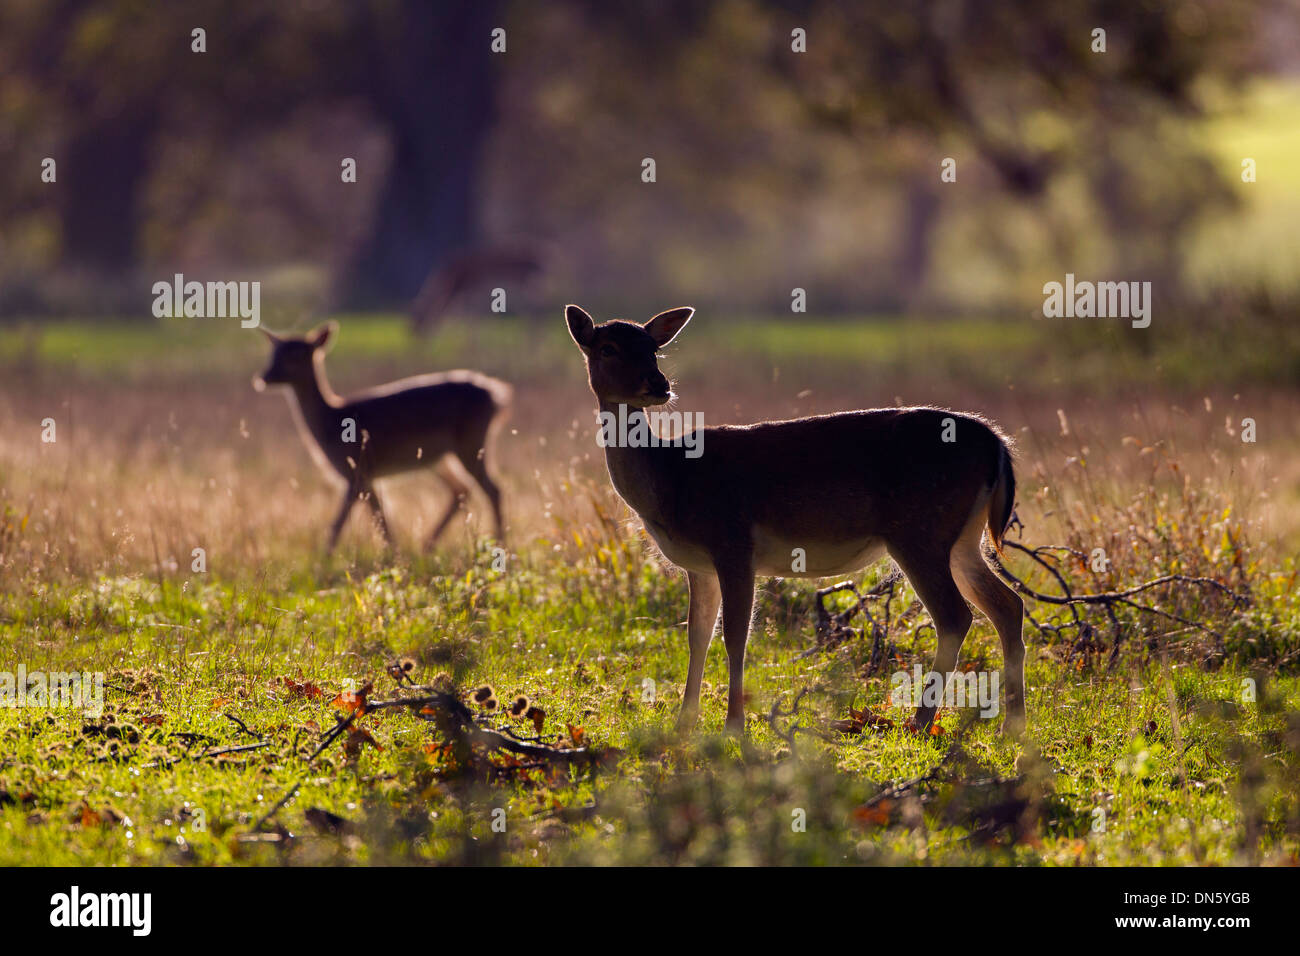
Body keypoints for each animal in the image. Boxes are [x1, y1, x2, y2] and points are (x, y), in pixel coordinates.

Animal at [250, 321, 509, 548]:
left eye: (296, 355)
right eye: (273, 353)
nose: (263, 377)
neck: (331, 422)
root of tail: (496, 395)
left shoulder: (357, 471)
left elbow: (342, 524)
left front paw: (324, 562)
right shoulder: (367, 477)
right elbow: (380, 520)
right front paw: (394, 555)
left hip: (471, 443)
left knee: (492, 488)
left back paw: (500, 544)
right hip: (440, 457)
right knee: (461, 489)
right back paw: (428, 545)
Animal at [569, 303, 1024, 738]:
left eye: (653, 348)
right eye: (608, 348)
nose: (659, 384)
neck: (670, 480)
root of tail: (997, 444)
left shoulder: (733, 542)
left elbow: (736, 636)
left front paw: (733, 726)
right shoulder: (699, 566)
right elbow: (697, 636)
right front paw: (684, 722)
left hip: (919, 530)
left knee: (956, 616)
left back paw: (922, 721)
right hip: (962, 539)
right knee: (1008, 605)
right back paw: (1013, 725)